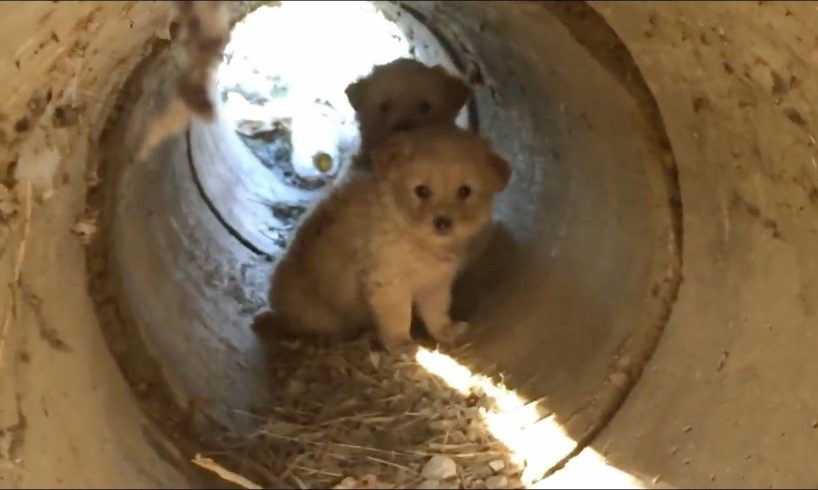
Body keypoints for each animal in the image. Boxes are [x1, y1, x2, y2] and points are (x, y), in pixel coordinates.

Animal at [255, 124, 510, 350]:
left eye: (465, 191)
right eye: (421, 191)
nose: (442, 223)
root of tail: (278, 309)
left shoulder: (435, 282)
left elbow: (437, 311)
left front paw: (446, 330)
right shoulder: (387, 282)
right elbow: (398, 317)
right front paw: (402, 344)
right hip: (319, 314)